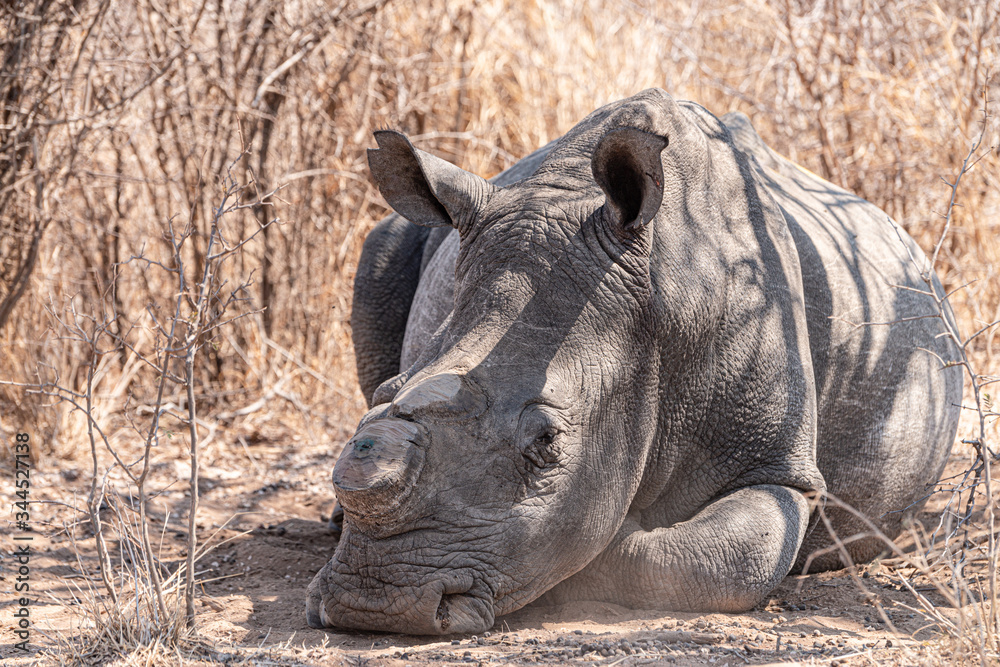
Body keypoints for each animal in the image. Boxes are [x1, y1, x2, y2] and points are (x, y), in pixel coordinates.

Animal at [307, 88, 962, 635]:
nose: (377, 601)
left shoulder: (781, 473)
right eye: (387, 392)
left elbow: (711, 560)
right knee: (384, 244)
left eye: (546, 442)